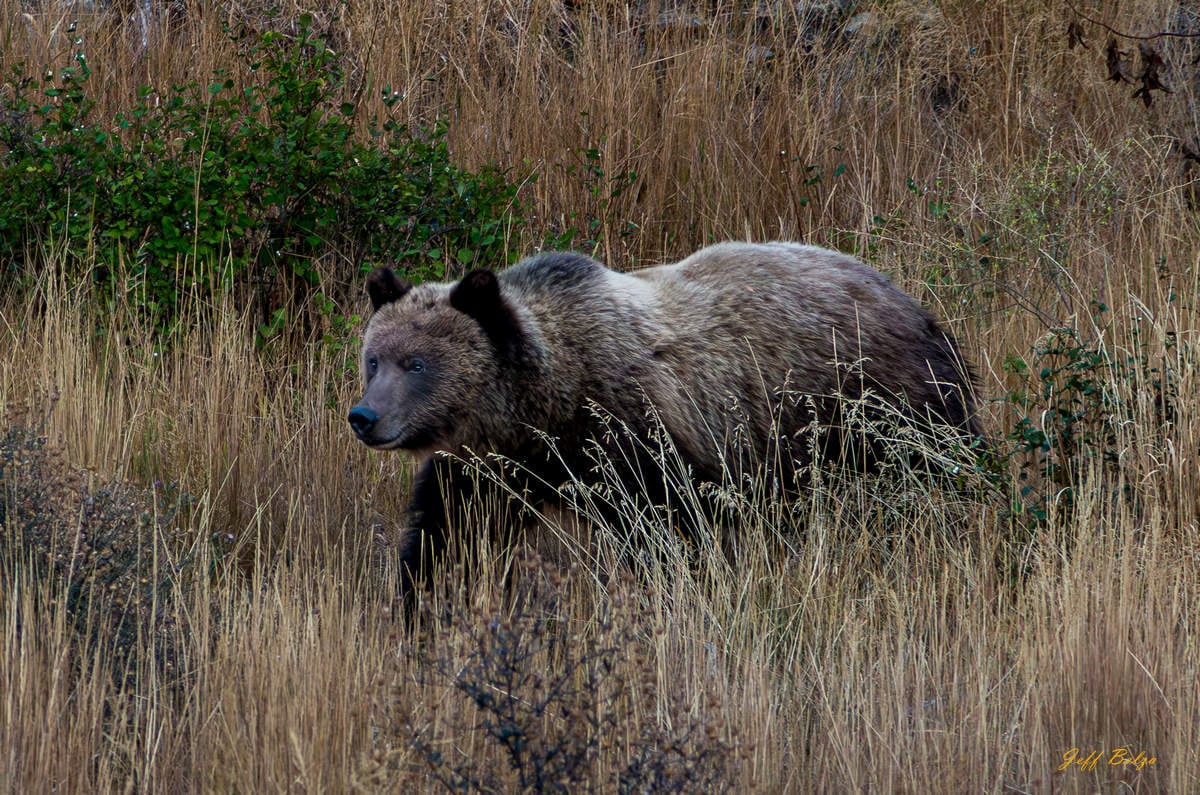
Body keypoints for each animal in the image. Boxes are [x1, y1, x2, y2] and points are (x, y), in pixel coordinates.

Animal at [348, 241, 982, 593]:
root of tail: (913, 303)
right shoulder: (491, 466)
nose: (365, 416)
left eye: (417, 364)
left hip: (880, 410)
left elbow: (665, 538)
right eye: (373, 358)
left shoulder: (639, 442)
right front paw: (421, 604)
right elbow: (447, 534)